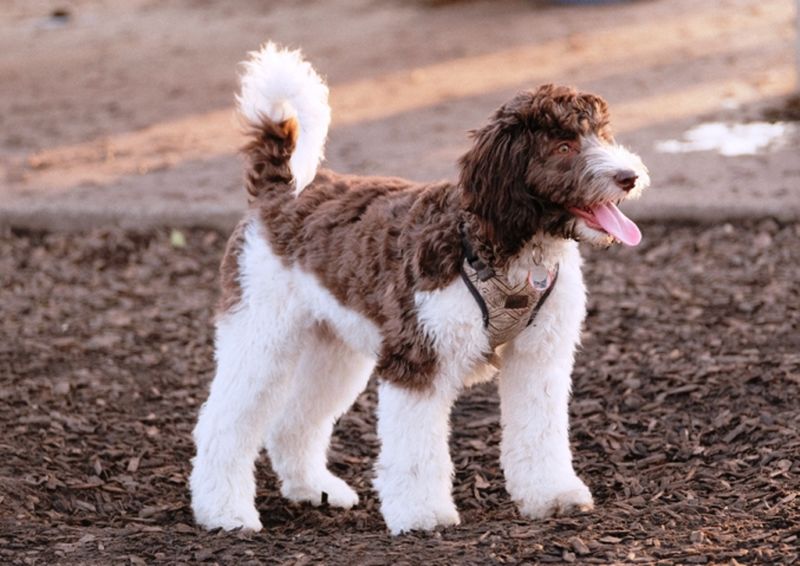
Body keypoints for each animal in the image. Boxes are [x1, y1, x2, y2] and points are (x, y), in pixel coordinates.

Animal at [189, 42, 648, 536]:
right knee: (222, 425)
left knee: (293, 422)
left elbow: (541, 433)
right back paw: (225, 512)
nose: (630, 176)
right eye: (564, 146)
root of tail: (277, 190)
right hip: (260, 337)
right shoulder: (417, 360)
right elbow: (415, 450)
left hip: (334, 350)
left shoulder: (539, 358)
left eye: (603, 134)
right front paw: (422, 513)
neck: (502, 247)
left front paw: (553, 494)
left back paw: (314, 489)